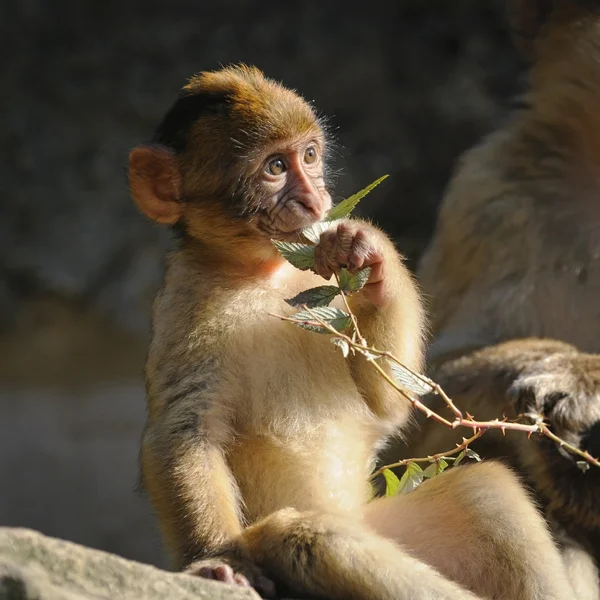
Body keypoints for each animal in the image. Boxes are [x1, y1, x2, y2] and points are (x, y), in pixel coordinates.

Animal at [130, 65, 572, 600]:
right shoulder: (185, 305)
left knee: (481, 491)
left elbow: (389, 403)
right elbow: (185, 430)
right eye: (274, 167)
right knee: (308, 537)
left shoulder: (331, 296)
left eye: (310, 156)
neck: (261, 274)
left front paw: (368, 250)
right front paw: (216, 560)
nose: (314, 198)